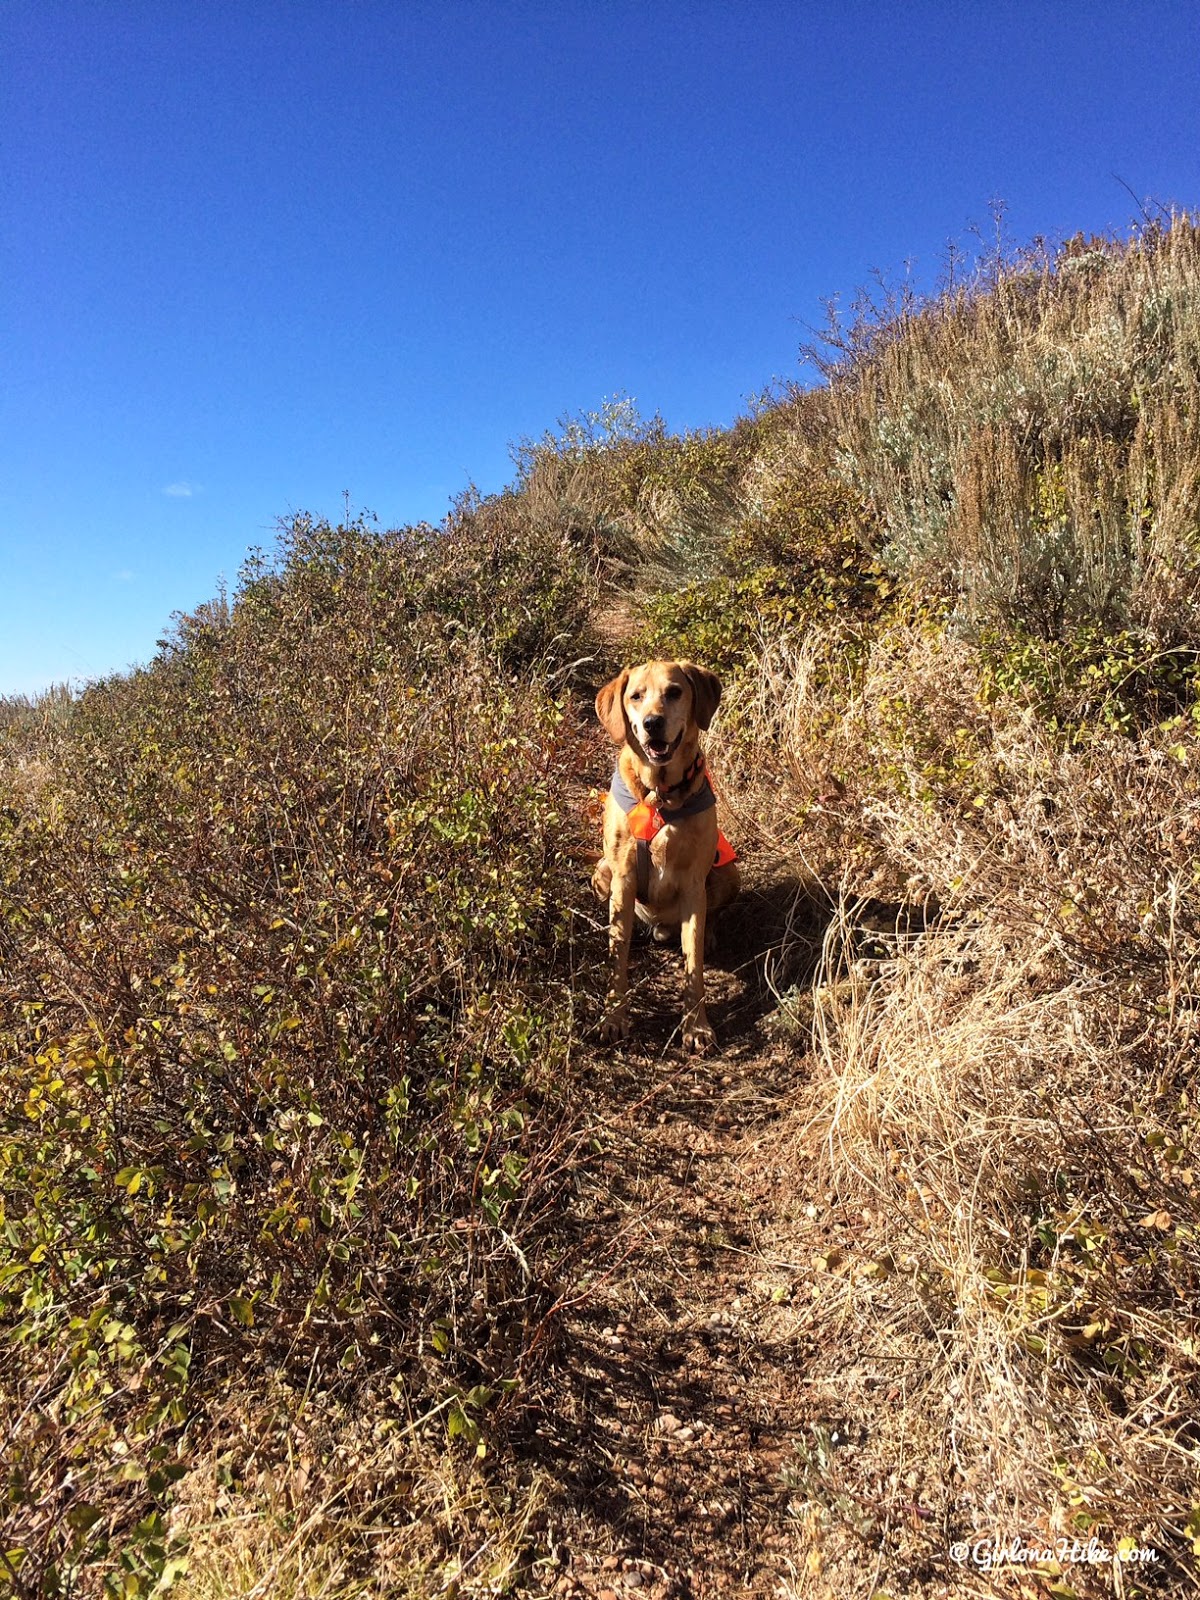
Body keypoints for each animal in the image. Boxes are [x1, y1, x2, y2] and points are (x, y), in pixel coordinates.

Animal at [595, 656, 742, 1056]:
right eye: (635, 696)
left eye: (674, 692)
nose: (652, 723)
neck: (659, 794)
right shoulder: (623, 877)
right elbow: (617, 957)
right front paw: (614, 1017)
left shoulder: (693, 885)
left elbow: (694, 965)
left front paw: (697, 1026)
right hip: (602, 871)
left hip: (728, 874)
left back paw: (709, 934)